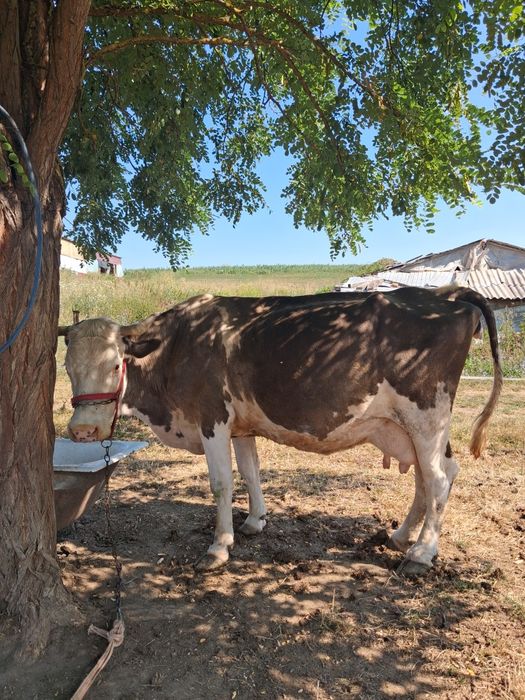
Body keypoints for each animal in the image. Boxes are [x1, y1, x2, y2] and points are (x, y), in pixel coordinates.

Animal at [58, 286, 502, 577]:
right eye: (67, 367)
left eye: (116, 364)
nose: (83, 430)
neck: (178, 345)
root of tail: (445, 295)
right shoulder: (241, 426)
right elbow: (251, 472)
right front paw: (255, 522)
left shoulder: (212, 419)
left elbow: (221, 483)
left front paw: (219, 547)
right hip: (409, 427)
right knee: (431, 476)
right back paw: (402, 536)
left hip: (426, 414)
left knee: (439, 479)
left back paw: (421, 555)